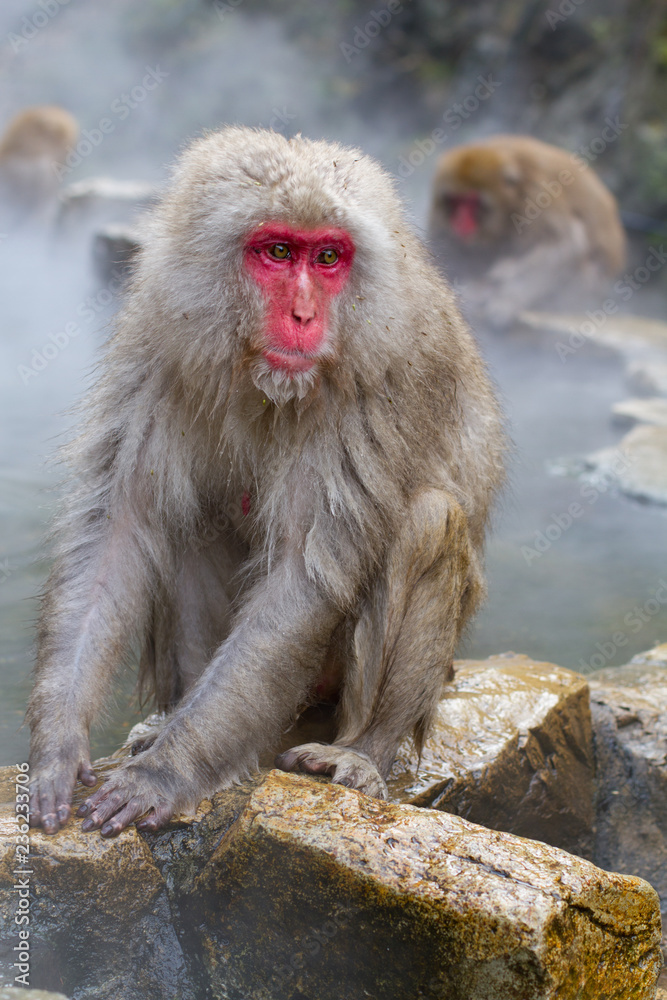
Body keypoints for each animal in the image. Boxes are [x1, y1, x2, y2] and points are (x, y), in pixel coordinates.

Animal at [27, 129, 506, 840]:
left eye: (329, 257)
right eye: (278, 251)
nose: (305, 315)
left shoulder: (375, 391)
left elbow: (304, 578)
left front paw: (164, 774)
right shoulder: (156, 351)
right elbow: (117, 530)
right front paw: (57, 744)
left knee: (429, 520)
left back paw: (362, 752)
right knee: (188, 517)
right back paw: (170, 722)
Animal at [430, 133, 628, 326]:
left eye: (471, 201)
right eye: (455, 201)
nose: (459, 222)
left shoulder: (539, 192)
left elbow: (564, 245)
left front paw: (508, 300)